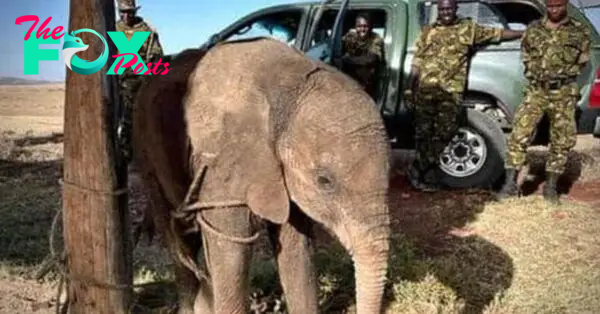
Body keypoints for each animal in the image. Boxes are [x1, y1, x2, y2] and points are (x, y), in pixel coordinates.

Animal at [131, 37, 392, 314]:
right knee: (178, 236)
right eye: (324, 182)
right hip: (144, 150)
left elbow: (296, 247)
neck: (289, 85)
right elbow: (232, 249)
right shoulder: (222, 156)